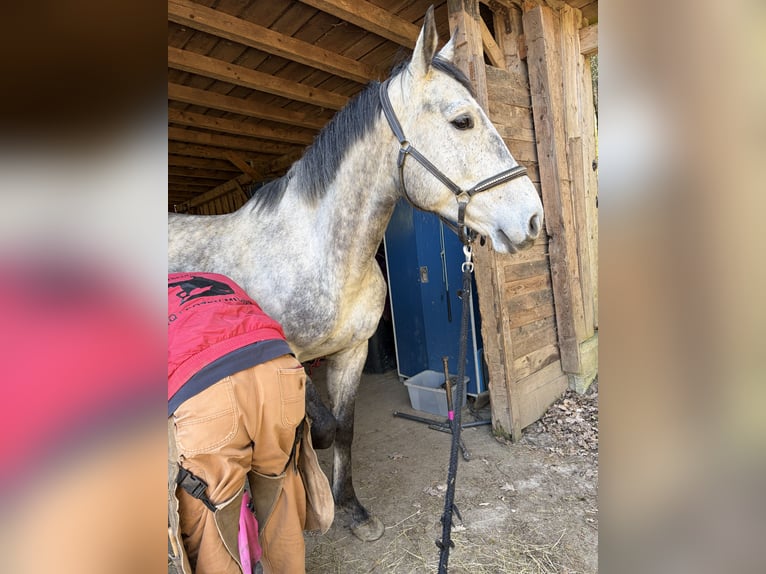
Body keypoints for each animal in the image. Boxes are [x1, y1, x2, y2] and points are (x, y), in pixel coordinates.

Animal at [168, 6, 543, 542]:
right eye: (463, 121)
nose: (531, 218)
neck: (321, 253)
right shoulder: (289, 361)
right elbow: (318, 427)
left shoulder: (353, 352)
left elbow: (344, 428)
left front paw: (351, 509)